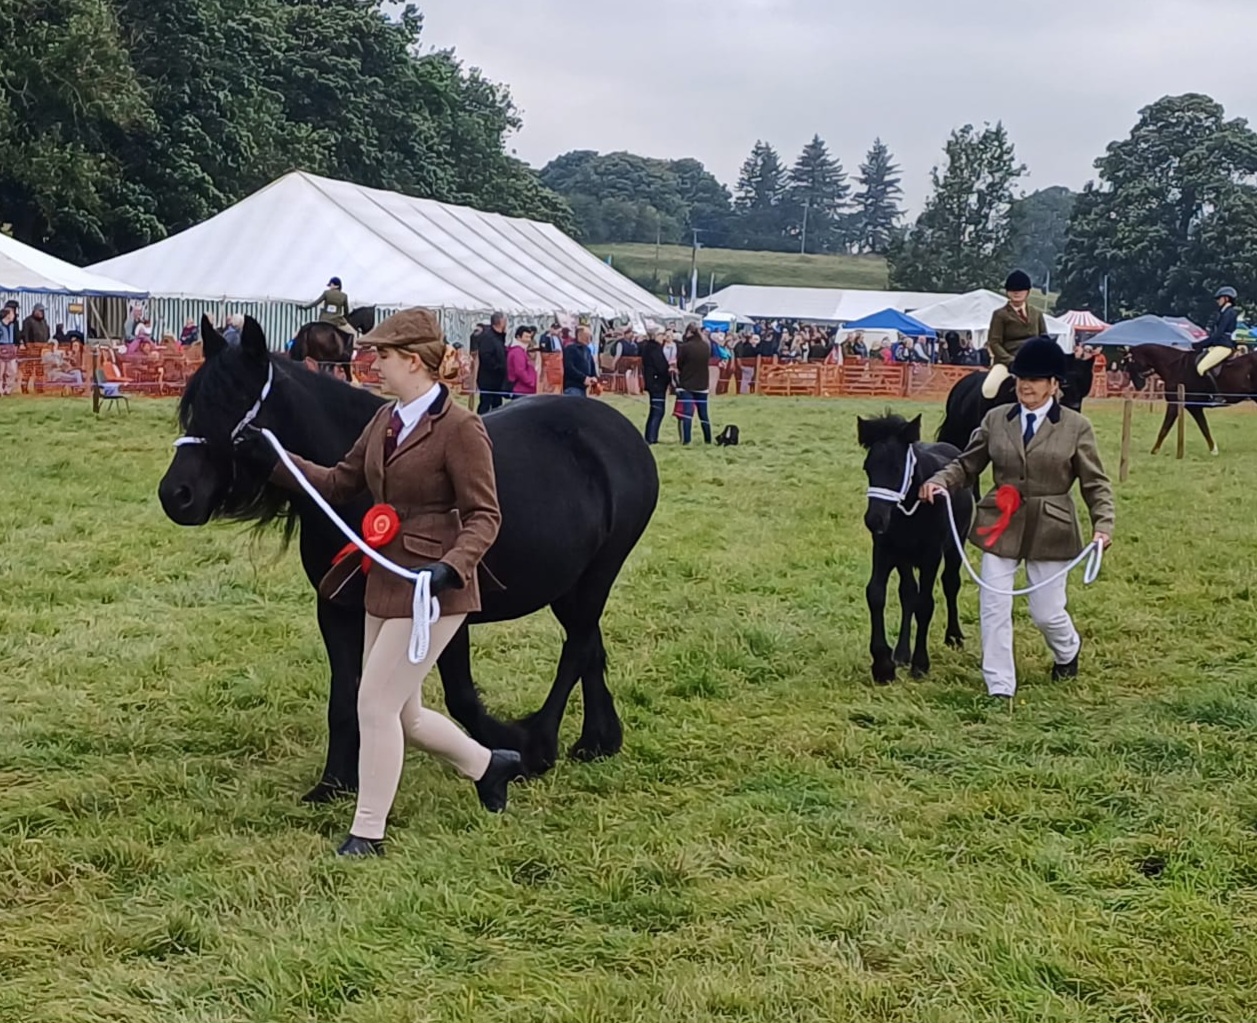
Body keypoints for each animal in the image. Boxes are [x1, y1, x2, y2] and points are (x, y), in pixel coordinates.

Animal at [159, 316, 658, 804]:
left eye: (235, 402)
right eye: (195, 404)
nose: (175, 495)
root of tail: (622, 434)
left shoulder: (441, 605)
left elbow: (461, 697)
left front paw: (510, 750)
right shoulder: (337, 609)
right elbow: (345, 698)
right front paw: (334, 783)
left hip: (598, 573)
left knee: (576, 649)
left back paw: (543, 742)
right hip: (569, 584)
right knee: (589, 644)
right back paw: (598, 741)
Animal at [854, 412, 970, 683]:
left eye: (897, 468)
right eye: (867, 468)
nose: (874, 520)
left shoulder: (931, 555)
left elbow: (925, 604)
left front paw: (920, 664)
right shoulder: (885, 550)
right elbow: (877, 594)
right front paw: (883, 665)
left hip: (956, 545)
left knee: (950, 584)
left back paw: (954, 636)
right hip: (905, 559)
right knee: (908, 594)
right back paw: (901, 653)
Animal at [1126, 344, 1257, 457]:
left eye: (1130, 363)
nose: (1138, 386)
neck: (1175, 367)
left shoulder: (1175, 404)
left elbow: (1164, 428)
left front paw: (1154, 451)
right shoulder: (1193, 407)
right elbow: (1204, 427)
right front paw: (1213, 450)